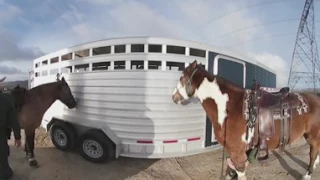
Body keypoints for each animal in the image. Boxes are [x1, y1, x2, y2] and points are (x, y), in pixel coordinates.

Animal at [172, 59, 320, 179]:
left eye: (182, 78)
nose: (174, 97)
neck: (229, 107)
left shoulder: (236, 152)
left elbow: (240, 172)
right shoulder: (232, 151)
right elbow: (229, 171)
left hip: (313, 137)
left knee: (312, 154)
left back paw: (308, 174)